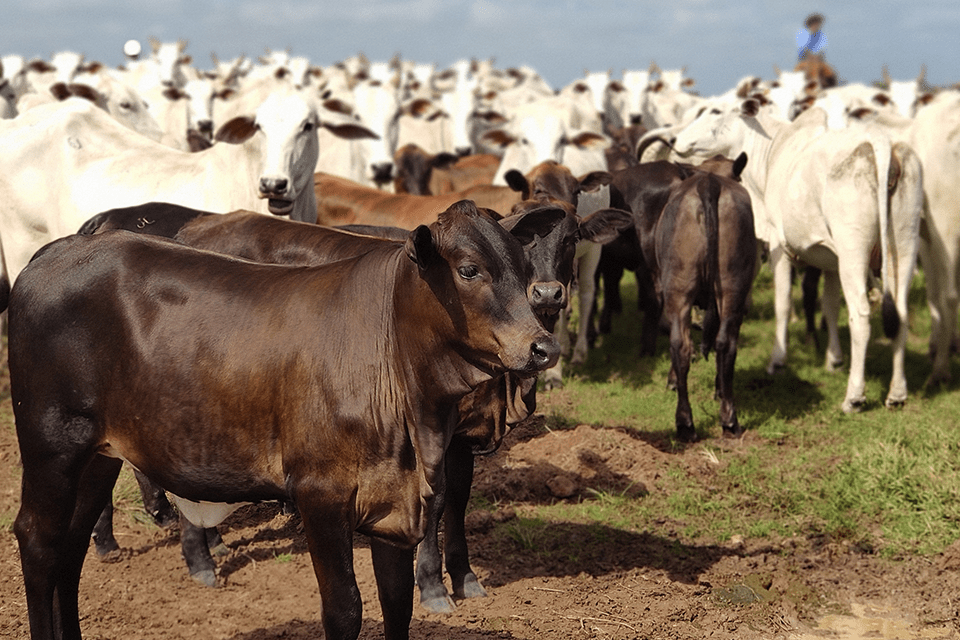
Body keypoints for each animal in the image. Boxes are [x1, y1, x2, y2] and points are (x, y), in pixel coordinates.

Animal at [672, 97, 920, 412]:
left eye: (715, 111)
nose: (675, 140)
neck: (773, 151)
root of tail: (880, 141)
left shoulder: (780, 248)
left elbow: (783, 304)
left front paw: (778, 361)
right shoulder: (831, 261)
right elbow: (829, 306)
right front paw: (834, 359)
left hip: (854, 251)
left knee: (861, 316)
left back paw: (854, 396)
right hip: (904, 245)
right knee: (900, 313)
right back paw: (897, 393)